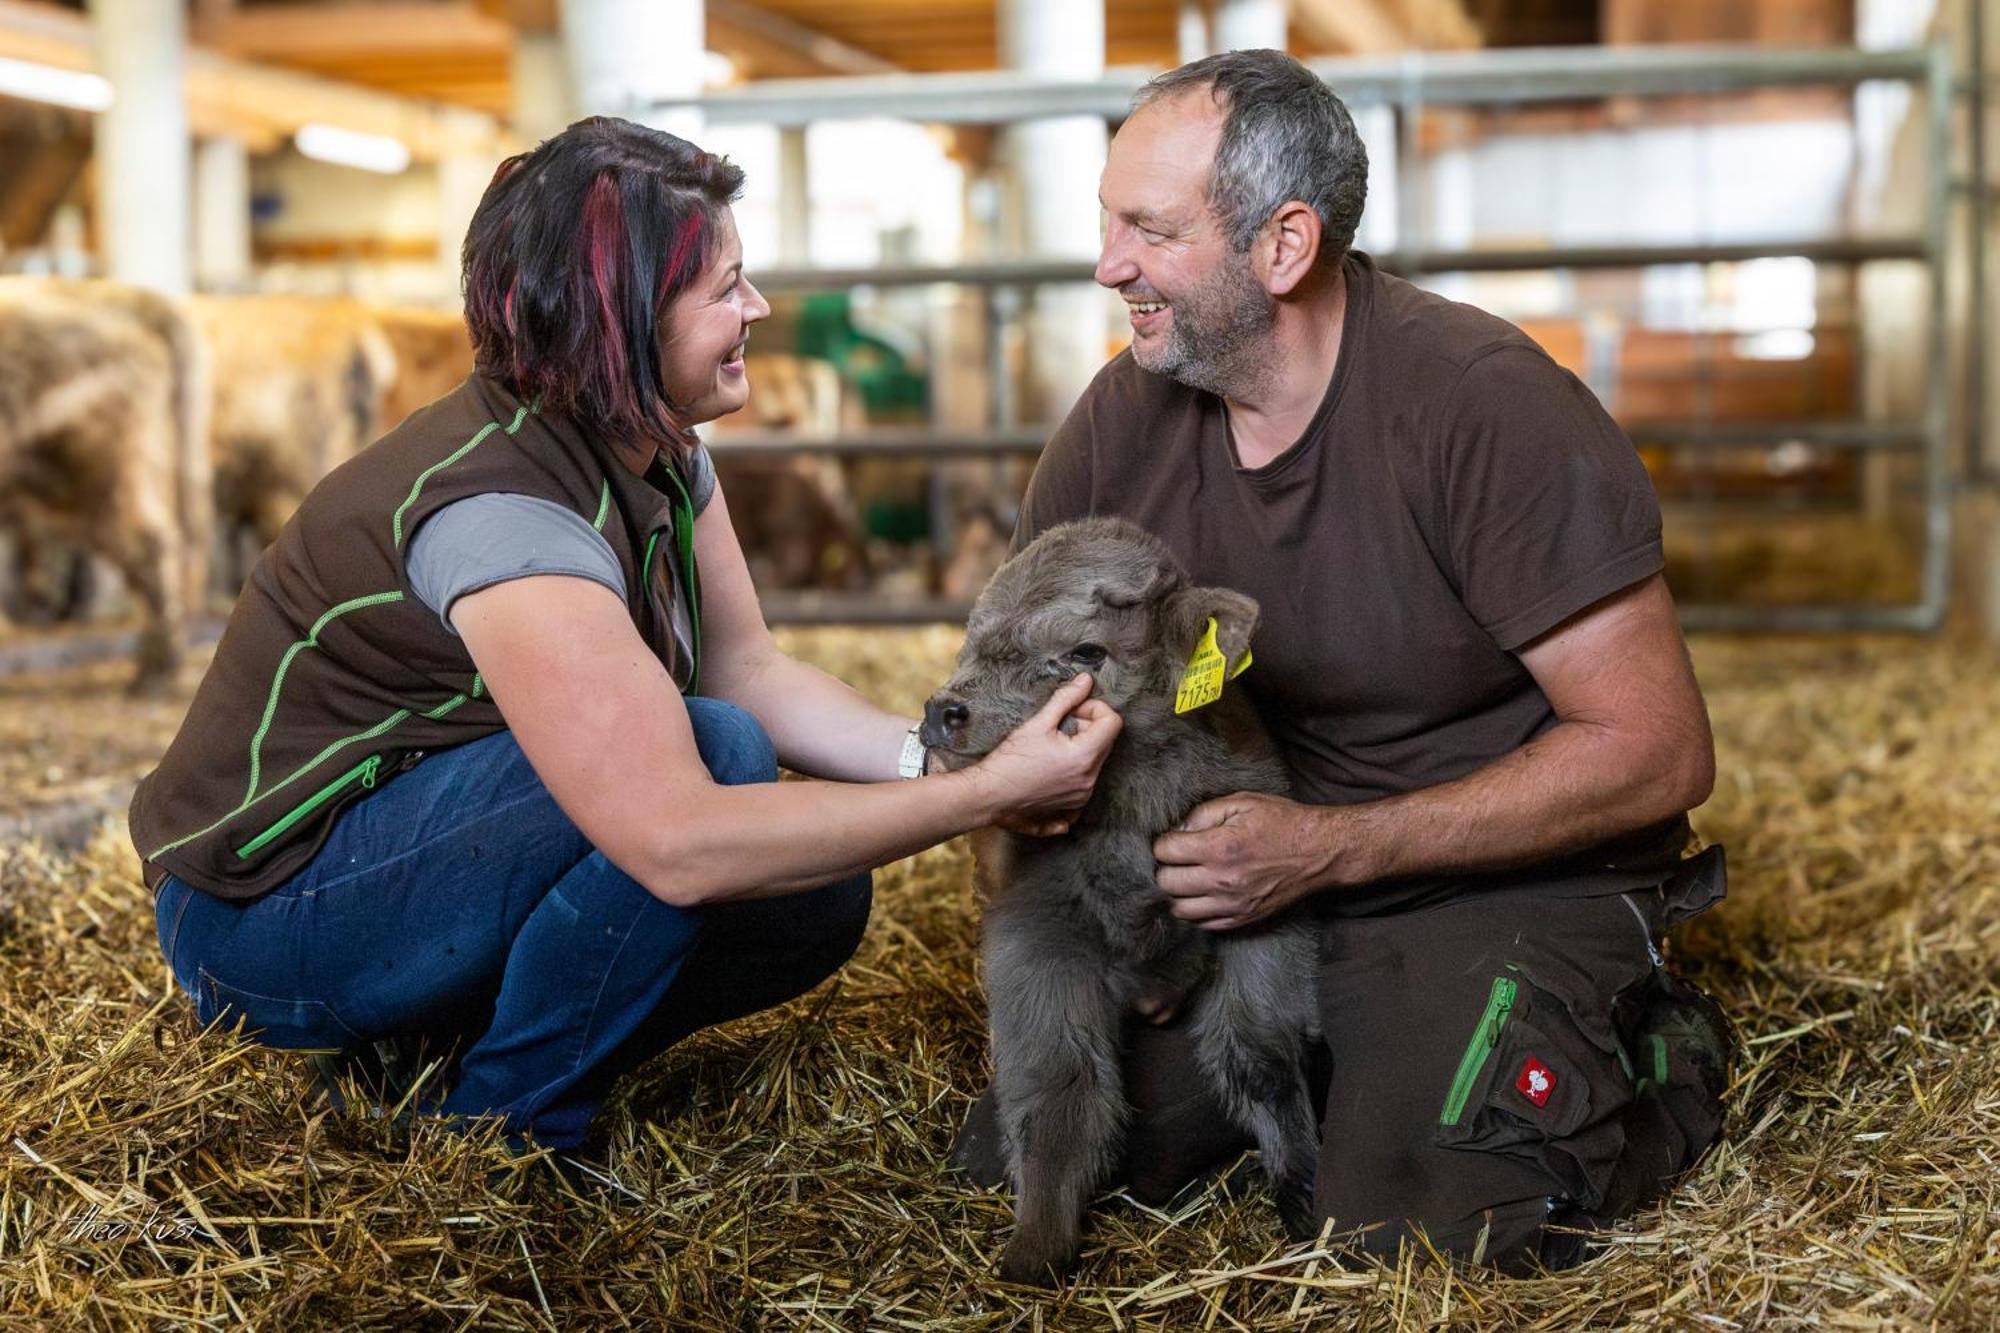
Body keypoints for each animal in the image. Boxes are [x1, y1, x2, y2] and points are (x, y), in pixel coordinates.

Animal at [924, 516, 1328, 1280]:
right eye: (974, 636)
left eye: (1086, 651)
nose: (944, 712)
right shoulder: (1037, 946)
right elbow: (1059, 1097)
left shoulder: (1265, 929)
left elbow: (1262, 1056)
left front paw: (1301, 1195)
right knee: (1062, 1096)